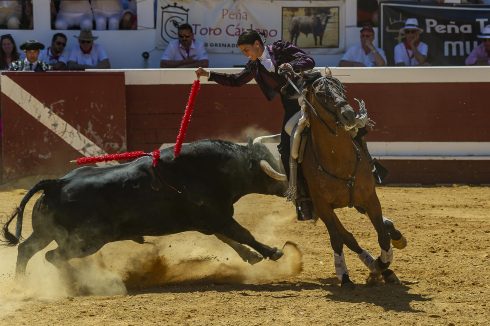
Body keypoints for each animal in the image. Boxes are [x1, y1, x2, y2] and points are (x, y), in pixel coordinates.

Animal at [2, 139, 288, 276]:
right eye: (267, 169)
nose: (289, 188)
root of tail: (57, 183)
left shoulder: (209, 221)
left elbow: (229, 238)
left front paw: (252, 257)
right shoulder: (218, 216)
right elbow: (243, 234)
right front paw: (273, 252)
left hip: (45, 232)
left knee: (27, 249)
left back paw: (22, 283)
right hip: (87, 241)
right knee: (53, 256)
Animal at [288, 70, 406, 286]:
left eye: (342, 87)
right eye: (321, 94)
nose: (349, 114)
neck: (338, 159)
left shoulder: (370, 198)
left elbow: (382, 235)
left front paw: (382, 263)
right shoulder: (322, 206)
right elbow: (337, 238)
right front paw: (344, 274)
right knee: (347, 237)